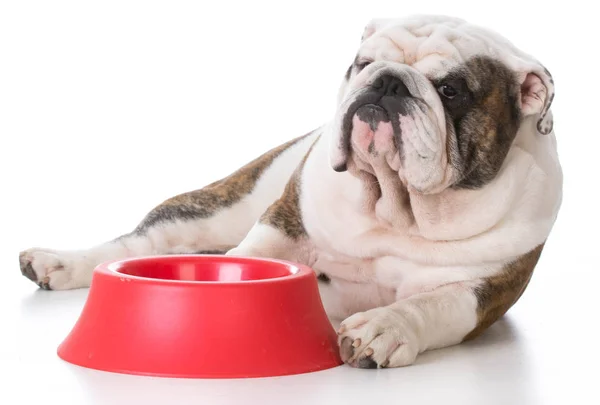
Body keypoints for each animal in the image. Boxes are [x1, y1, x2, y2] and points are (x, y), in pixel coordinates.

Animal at [18, 15, 564, 368]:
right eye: (362, 63)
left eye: (451, 90)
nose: (386, 82)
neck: (397, 204)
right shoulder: (284, 221)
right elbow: (256, 256)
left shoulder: (483, 293)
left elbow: (431, 305)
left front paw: (384, 327)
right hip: (215, 207)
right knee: (138, 244)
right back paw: (58, 262)